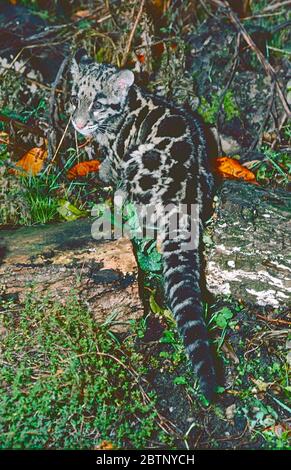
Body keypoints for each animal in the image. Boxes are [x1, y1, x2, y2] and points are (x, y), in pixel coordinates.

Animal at [70, 47, 217, 400]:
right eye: (75, 98)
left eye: (97, 103)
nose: (77, 123)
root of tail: (183, 195)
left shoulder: (118, 154)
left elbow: (112, 170)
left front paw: (104, 176)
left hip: (140, 164)